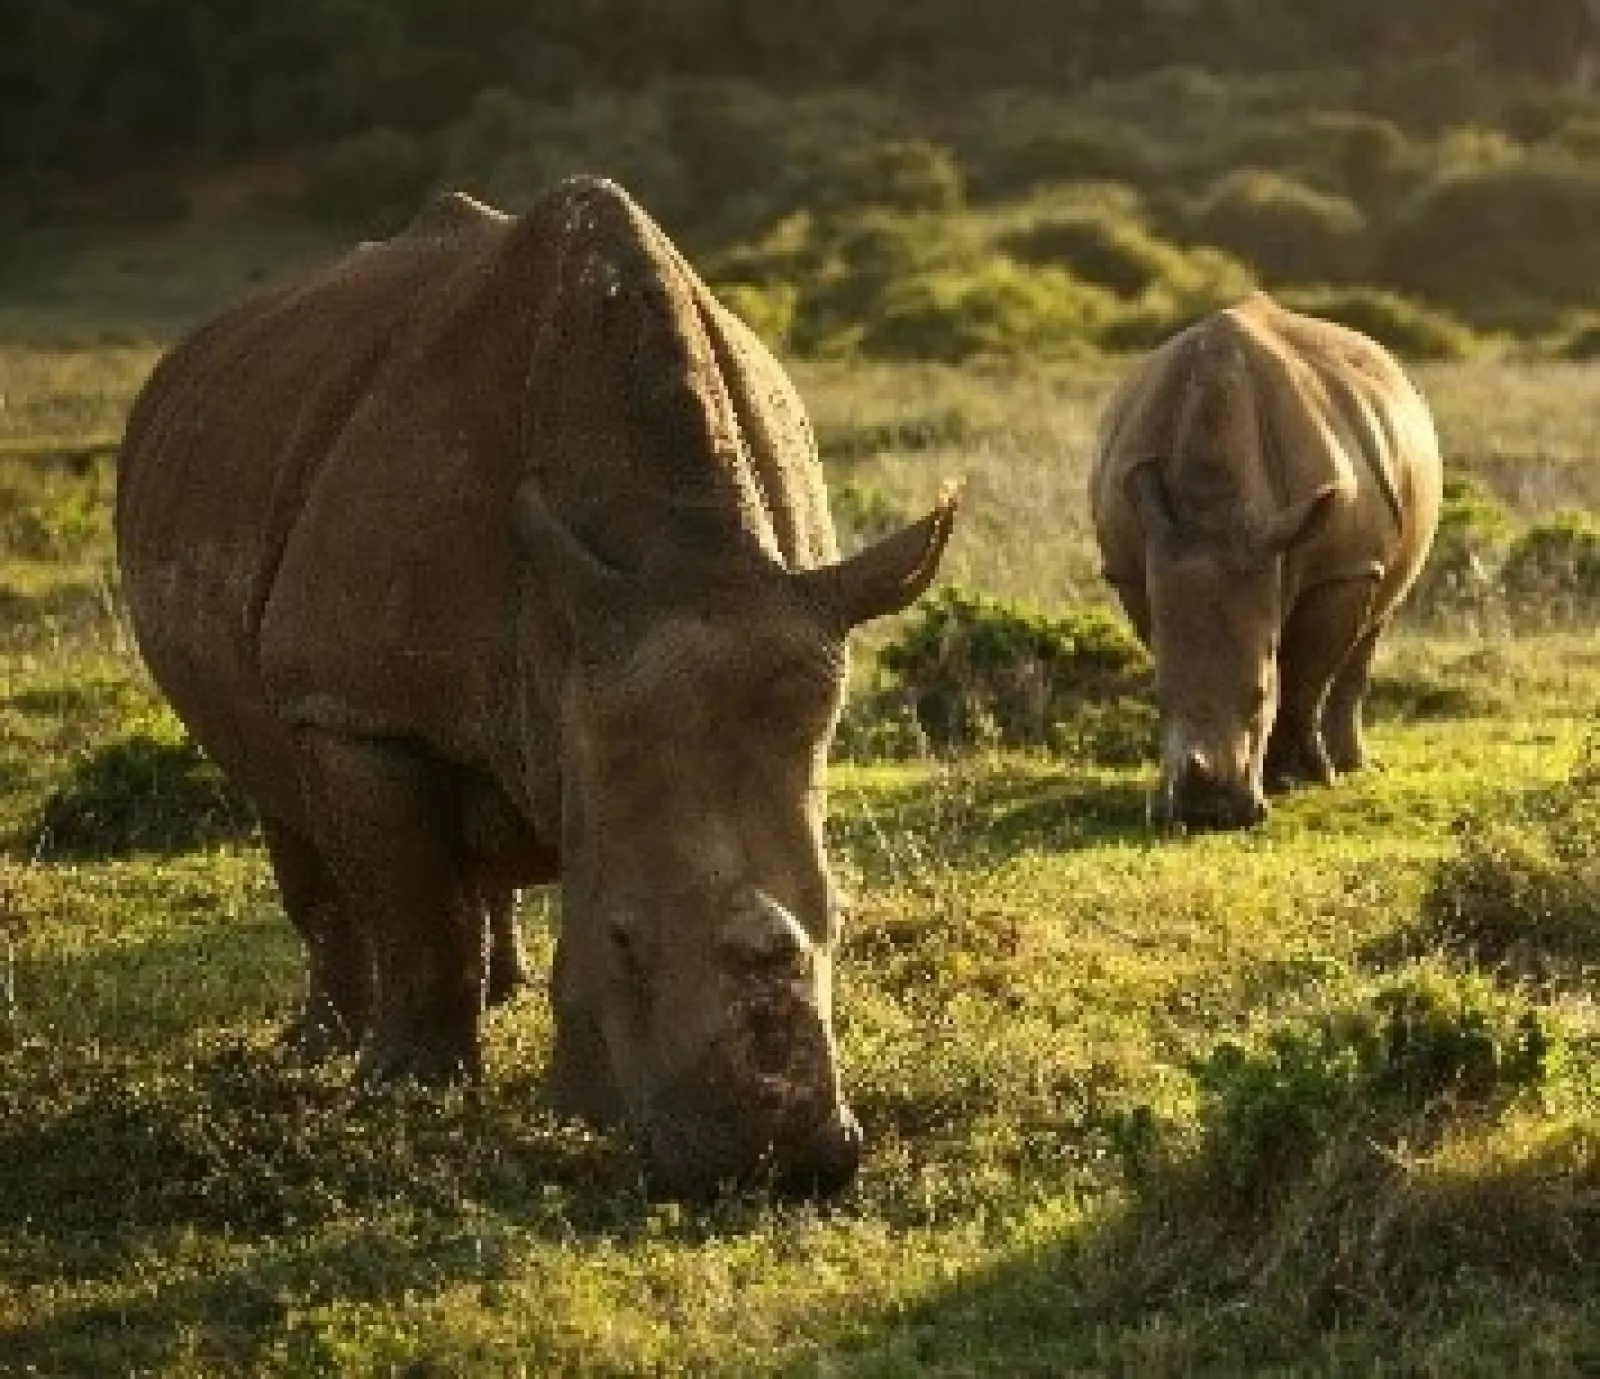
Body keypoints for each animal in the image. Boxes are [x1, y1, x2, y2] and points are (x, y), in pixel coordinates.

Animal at [115, 176, 959, 1198]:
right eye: (621, 937)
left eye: (841, 918)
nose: (775, 1166)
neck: (677, 546)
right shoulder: (356, 709)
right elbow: (415, 908)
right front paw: (407, 1091)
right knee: (280, 792)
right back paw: (323, 1045)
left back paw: (500, 991)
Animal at [1089, 292, 1442, 830]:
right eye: (1155, 696)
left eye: (1259, 694)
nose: (1206, 814)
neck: (1214, 505)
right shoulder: (1136, 566)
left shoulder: (1340, 571)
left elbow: (1304, 677)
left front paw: (1300, 779)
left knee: (1377, 620)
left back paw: (1352, 767)